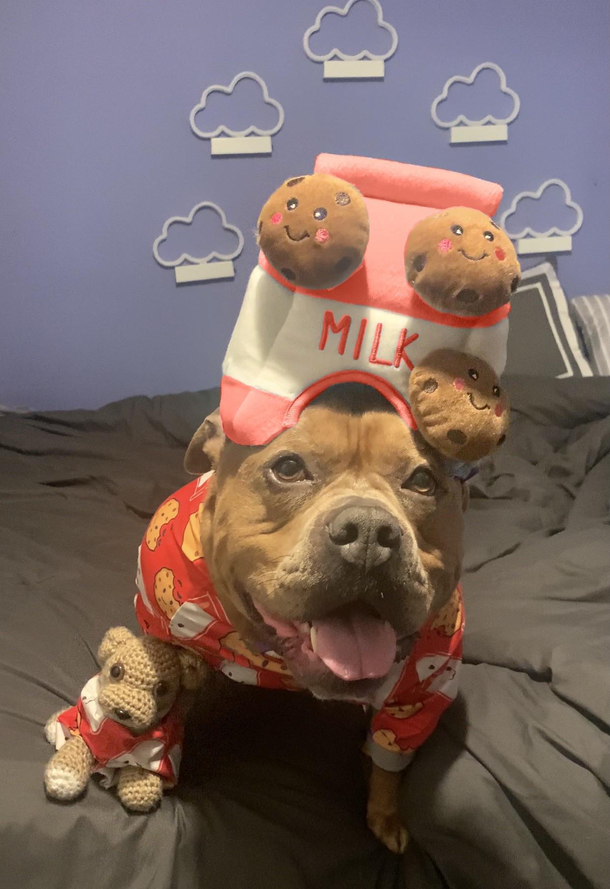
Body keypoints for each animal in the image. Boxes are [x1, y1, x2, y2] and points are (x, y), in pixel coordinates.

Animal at [180, 384, 466, 852]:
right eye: (288, 468)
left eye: (423, 481)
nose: (368, 532)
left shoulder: (424, 688)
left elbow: (389, 760)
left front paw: (384, 813)